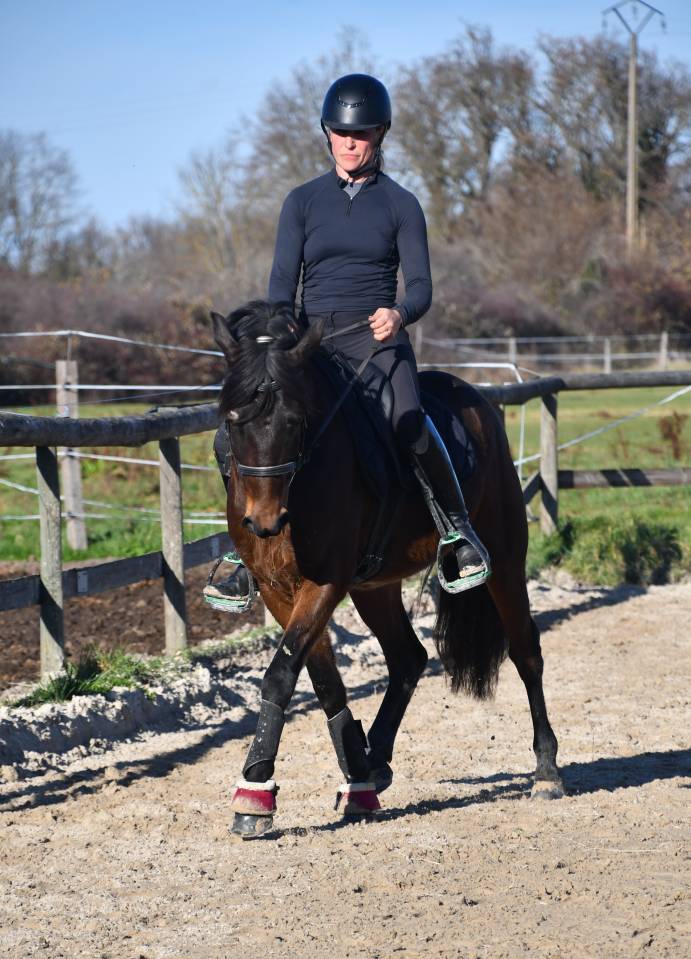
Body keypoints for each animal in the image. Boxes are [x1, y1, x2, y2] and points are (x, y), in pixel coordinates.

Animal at [211, 300, 563, 837]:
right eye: (231, 419)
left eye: (294, 419)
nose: (265, 521)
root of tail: (474, 398)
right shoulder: (277, 588)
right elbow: (323, 681)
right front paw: (355, 775)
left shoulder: (325, 581)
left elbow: (281, 675)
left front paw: (254, 794)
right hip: (374, 586)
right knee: (408, 658)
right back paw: (374, 762)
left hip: (504, 560)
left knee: (526, 652)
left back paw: (546, 771)